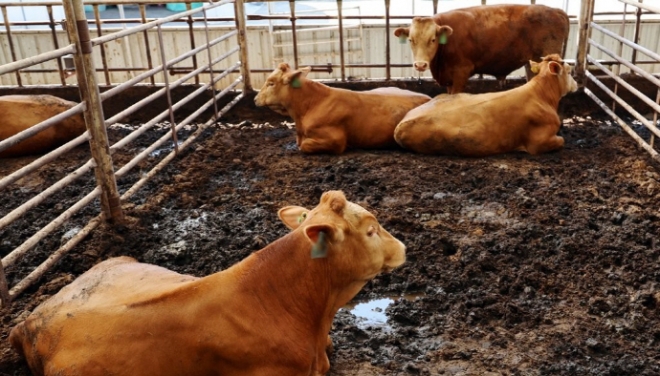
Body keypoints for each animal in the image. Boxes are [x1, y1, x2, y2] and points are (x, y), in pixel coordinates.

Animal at [392, 54, 576, 157]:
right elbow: (562, 140)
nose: (576, 84)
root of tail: (402, 124)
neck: (542, 96)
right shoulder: (538, 143)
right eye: (569, 71)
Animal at [394, 4, 568, 94]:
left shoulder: (461, 72)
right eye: (410, 40)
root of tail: (556, 10)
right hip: (531, 63)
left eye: (433, 39)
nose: (420, 65)